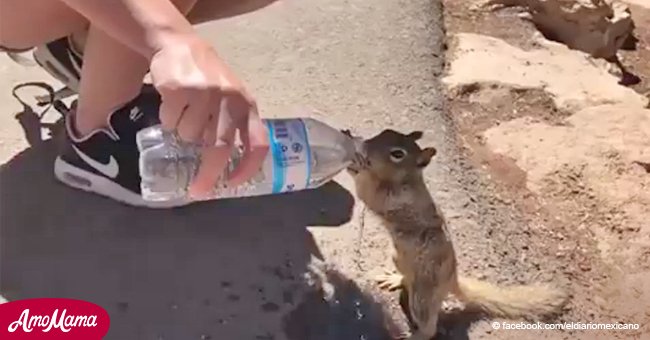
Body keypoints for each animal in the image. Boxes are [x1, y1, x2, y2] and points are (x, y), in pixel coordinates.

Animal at [344, 128, 568, 340]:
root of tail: (452, 280)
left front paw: (356, 163)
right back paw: (396, 279)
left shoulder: (392, 198)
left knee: (429, 327)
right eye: (385, 132)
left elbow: (367, 192)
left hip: (423, 296)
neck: (408, 180)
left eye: (397, 154)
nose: (365, 147)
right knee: (407, 279)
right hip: (399, 258)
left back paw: (413, 336)